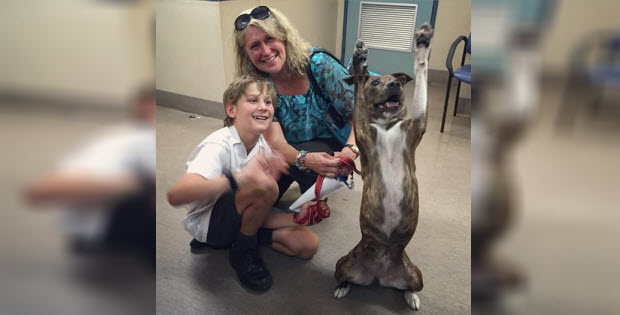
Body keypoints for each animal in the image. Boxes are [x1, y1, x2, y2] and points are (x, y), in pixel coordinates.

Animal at [334, 24, 432, 312]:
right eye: (375, 82)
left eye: (396, 81)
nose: (395, 85)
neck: (387, 126)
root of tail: (379, 275)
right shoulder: (362, 132)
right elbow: (357, 86)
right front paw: (359, 62)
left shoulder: (418, 123)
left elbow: (422, 73)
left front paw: (423, 46)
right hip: (344, 262)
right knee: (343, 276)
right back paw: (342, 288)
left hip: (416, 274)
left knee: (410, 286)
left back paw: (410, 296)